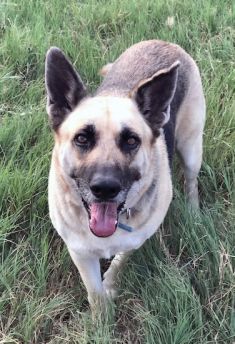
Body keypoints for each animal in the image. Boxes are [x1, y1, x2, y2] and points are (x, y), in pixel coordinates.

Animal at [44, 40, 206, 312]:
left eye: (131, 141)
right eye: (82, 138)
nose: (105, 188)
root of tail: (164, 42)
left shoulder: (135, 241)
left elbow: (120, 262)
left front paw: (110, 284)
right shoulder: (80, 252)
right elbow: (94, 292)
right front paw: (101, 317)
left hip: (191, 148)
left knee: (192, 180)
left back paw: (193, 212)